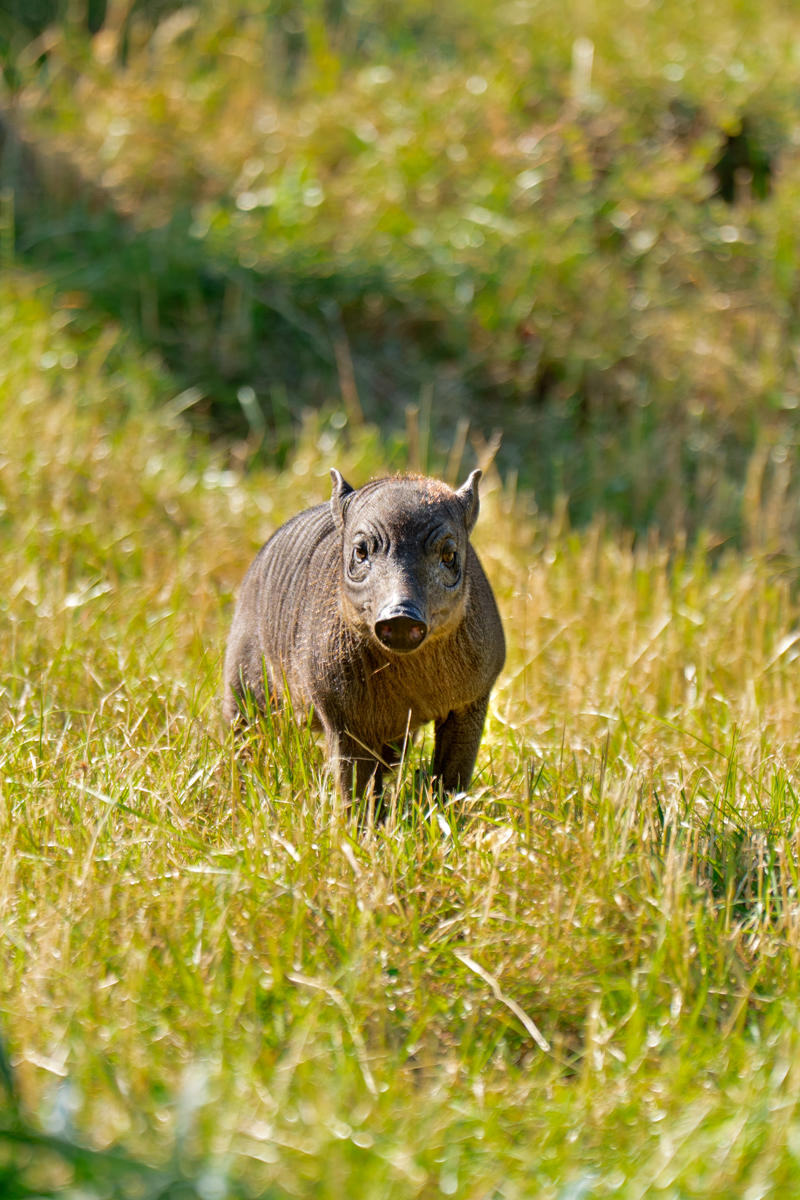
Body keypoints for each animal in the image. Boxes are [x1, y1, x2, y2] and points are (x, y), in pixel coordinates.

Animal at [223, 469, 505, 799]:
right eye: (360, 551)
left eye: (449, 554)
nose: (400, 616)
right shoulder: (343, 716)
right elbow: (354, 788)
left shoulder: (472, 701)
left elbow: (452, 778)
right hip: (241, 686)